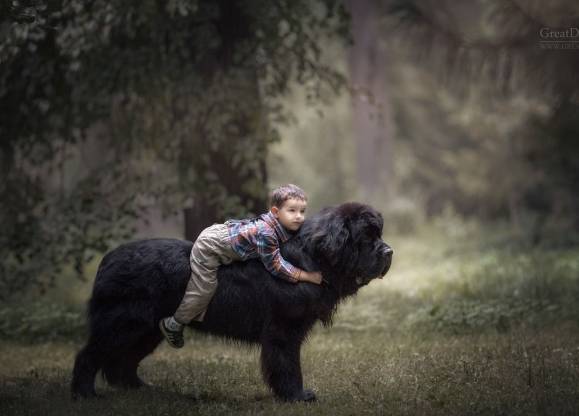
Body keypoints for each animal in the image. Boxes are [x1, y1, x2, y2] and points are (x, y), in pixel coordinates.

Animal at [69, 203, 394, 402]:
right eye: (366, 238)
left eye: (378, 235)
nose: (389, 252)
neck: (313, 257)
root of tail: (109, 259)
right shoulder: (284, 330)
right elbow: (288, 364)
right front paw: (297, 396)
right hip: (123, 323)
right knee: (90, 355)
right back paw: (85, 393)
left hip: (147, 329)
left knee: (122, 361)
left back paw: (138, 389)